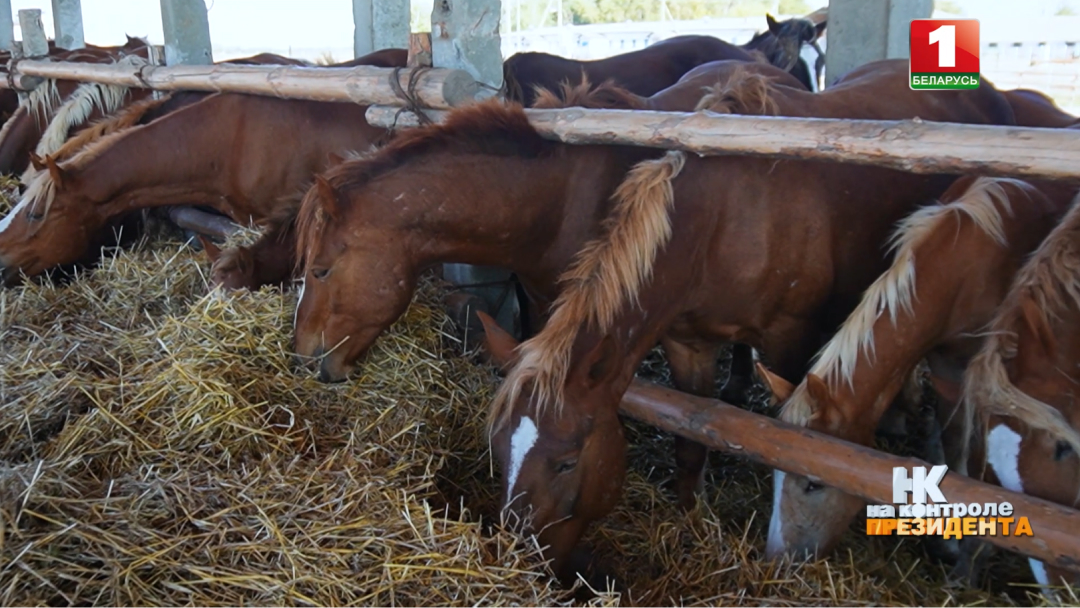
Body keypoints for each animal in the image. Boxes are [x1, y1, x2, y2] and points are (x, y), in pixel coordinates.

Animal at [477, 61, 1015, 578]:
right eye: (499, 446)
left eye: (566, 462)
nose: (518, 557)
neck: (724, 213)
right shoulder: (687, 343)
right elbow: (691, 442)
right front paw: (689, 515)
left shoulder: (790, 340)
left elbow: (796, 446)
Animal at [756, 176, 1075, 561]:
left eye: (813, 484)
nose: (776, 556)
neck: (966, 263)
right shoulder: (945, 368)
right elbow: (953, 436)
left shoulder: (982, 377)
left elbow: (971, 446)